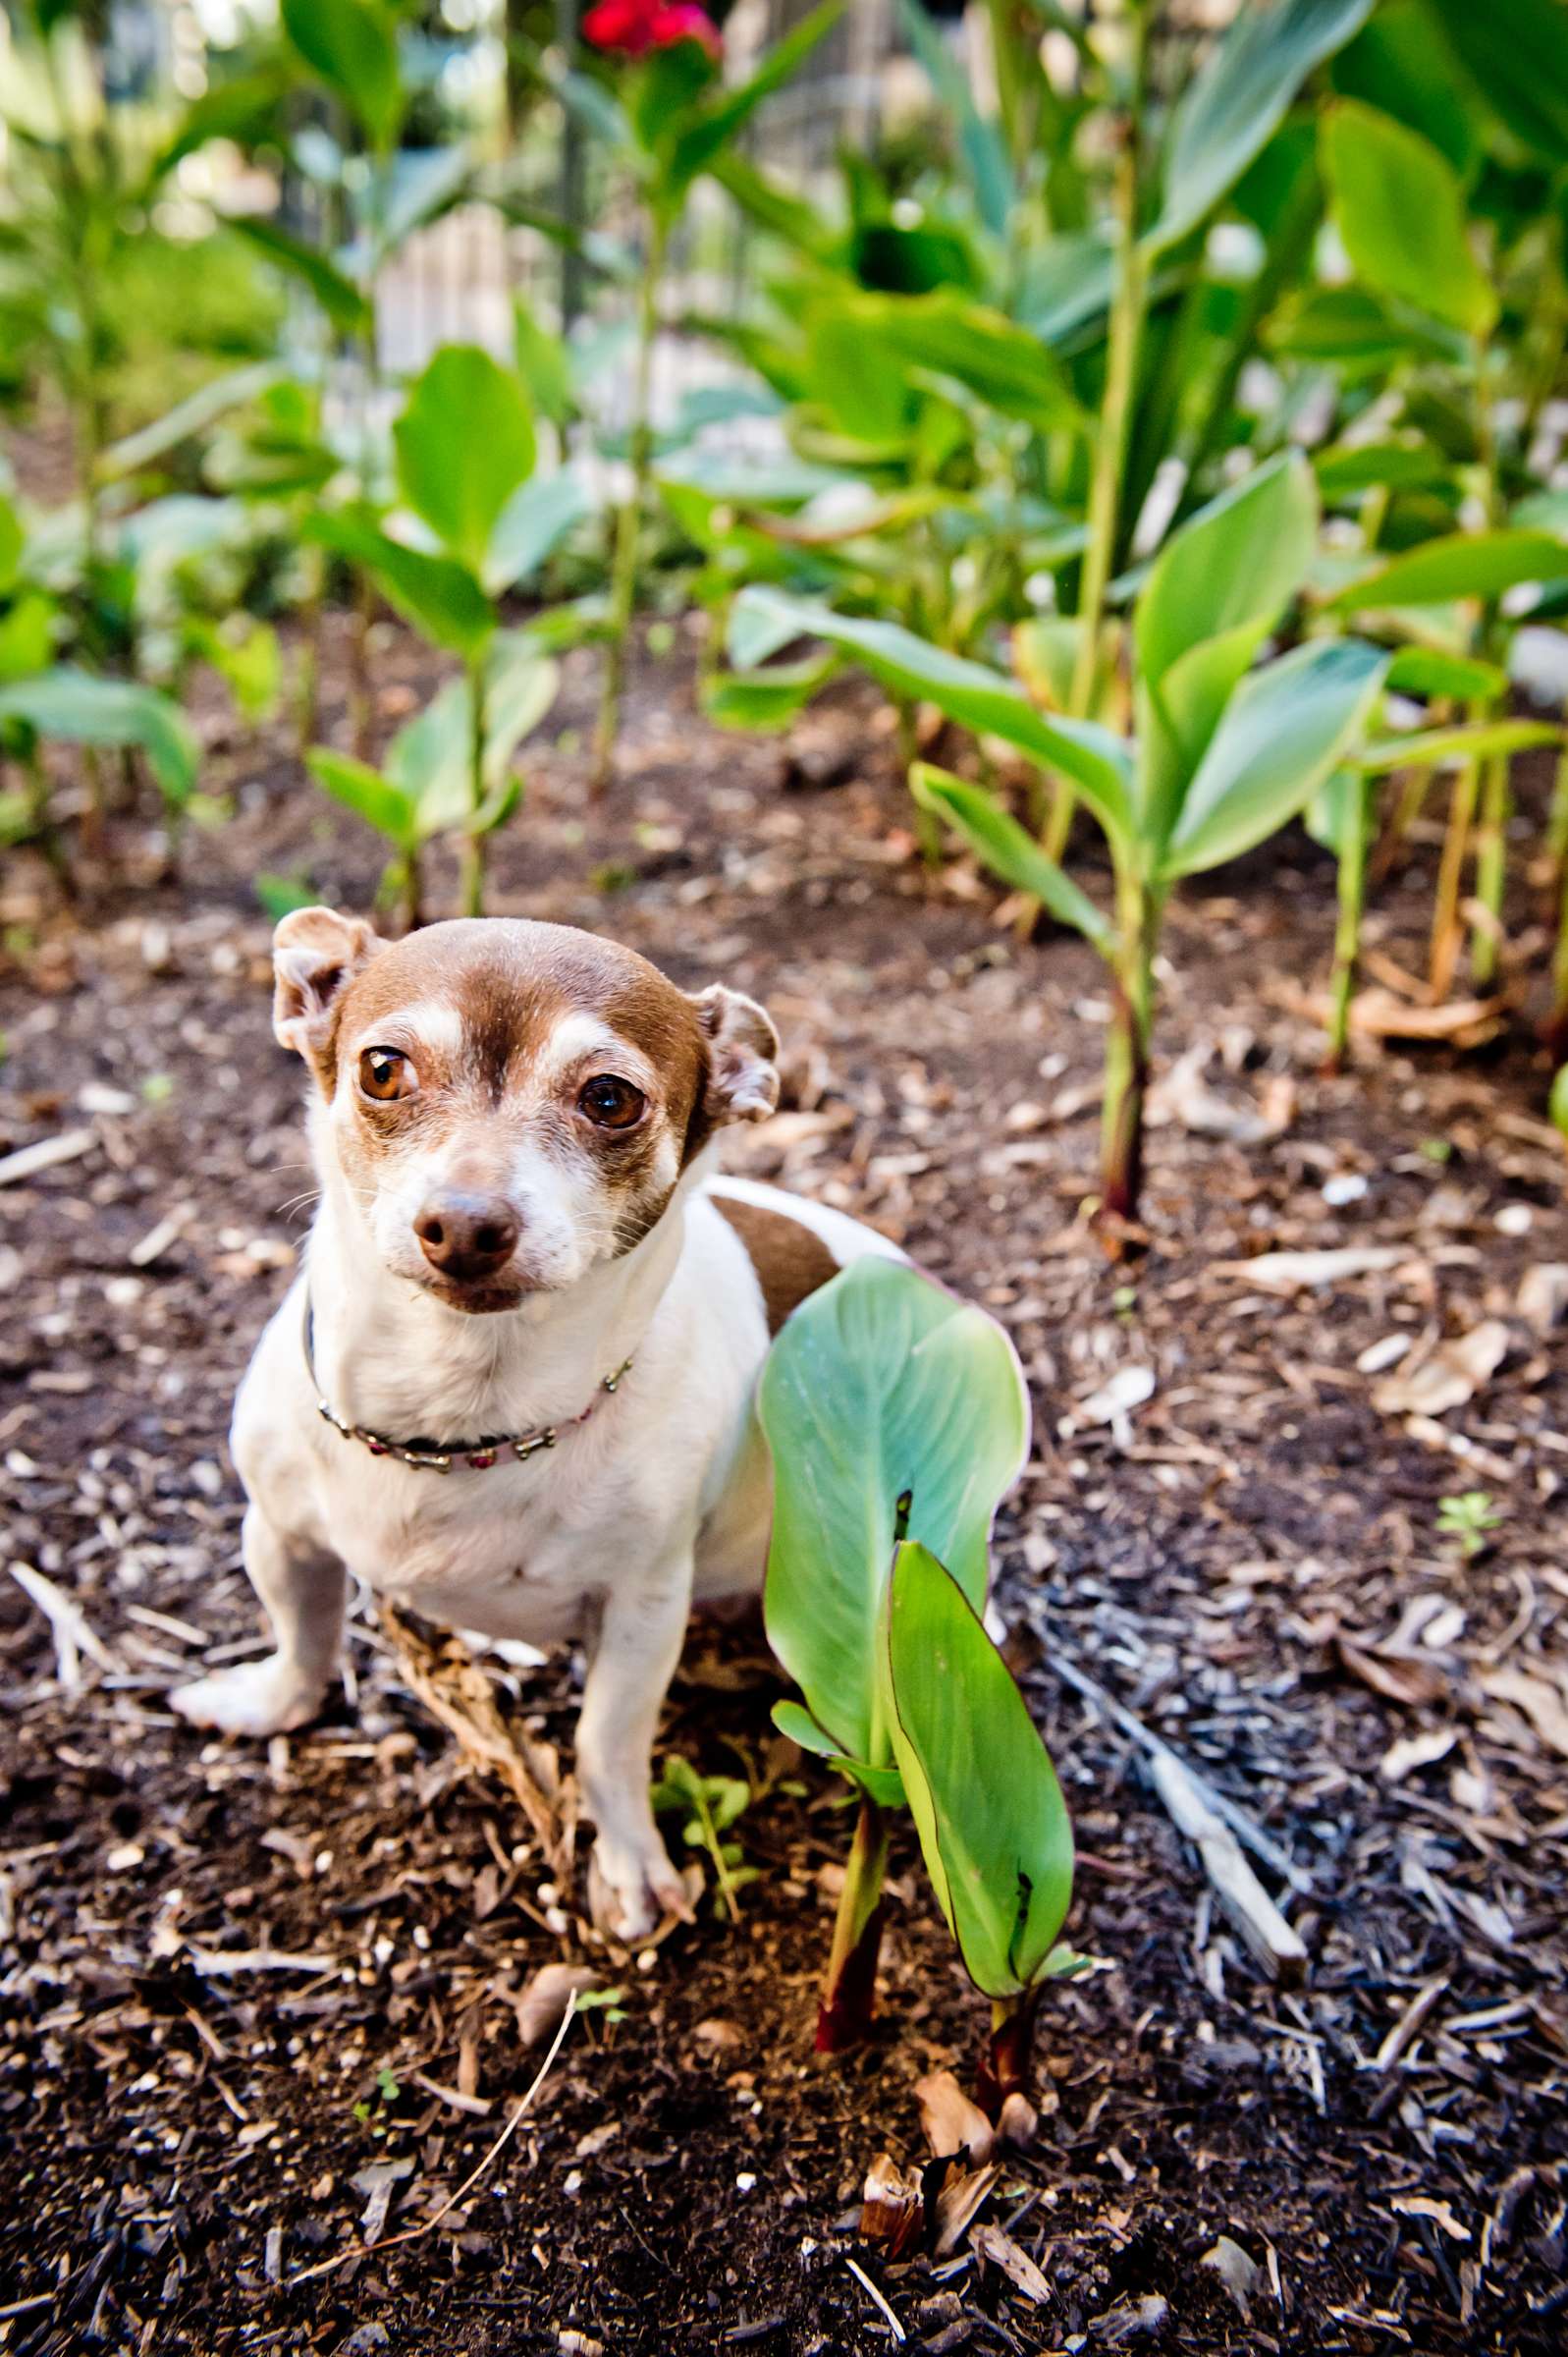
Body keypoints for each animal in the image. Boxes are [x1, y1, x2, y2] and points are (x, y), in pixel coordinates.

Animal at [171, 900, 900, 1933]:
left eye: (609, 1099)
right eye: (382, 1069)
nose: (466, 1222)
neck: (461, 1411)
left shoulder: (642, 1611)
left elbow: (605, 1743)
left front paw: (628, 1862)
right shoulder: (279, 1534)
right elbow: (303, 1633)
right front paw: (274, 1702)